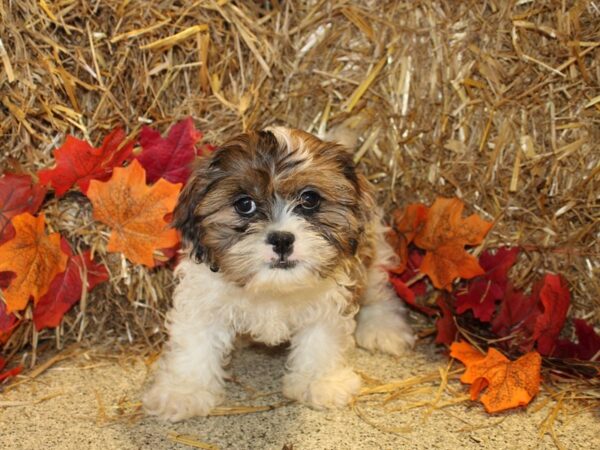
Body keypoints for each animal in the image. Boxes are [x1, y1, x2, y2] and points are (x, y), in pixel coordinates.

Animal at [143, 126, 414, 422]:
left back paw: (383, 328)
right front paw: (183, 391)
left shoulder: (330, 295)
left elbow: (321, 337)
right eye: (244, 204)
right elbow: (194, 341)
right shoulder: (203, 295)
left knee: (379, 290)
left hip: (373, 251)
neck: (273, 288)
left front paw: (320, 382)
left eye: (310, 199)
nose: (282, 239)